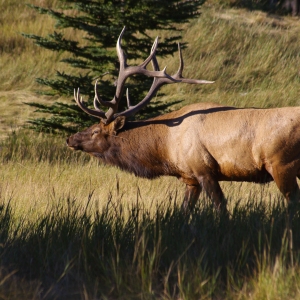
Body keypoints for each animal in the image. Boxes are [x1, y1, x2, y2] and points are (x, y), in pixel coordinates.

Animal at [67, 27, 300, 216]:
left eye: (96, 130)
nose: (70, 139)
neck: (166, 149)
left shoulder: (204, 169)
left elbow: (221, 208)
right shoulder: (190, 179)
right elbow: (184, 212)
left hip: (281, 164)